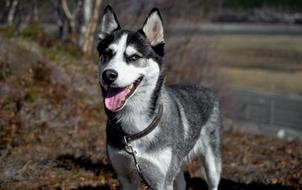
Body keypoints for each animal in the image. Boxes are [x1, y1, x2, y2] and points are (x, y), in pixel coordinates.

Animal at [96, 5, 222, 189]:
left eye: (134, 57)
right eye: (107, 53)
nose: (108, 75)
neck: (135, 126)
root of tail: (205, 88)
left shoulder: (161, 181)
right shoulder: (124, 176)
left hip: (211, 162)